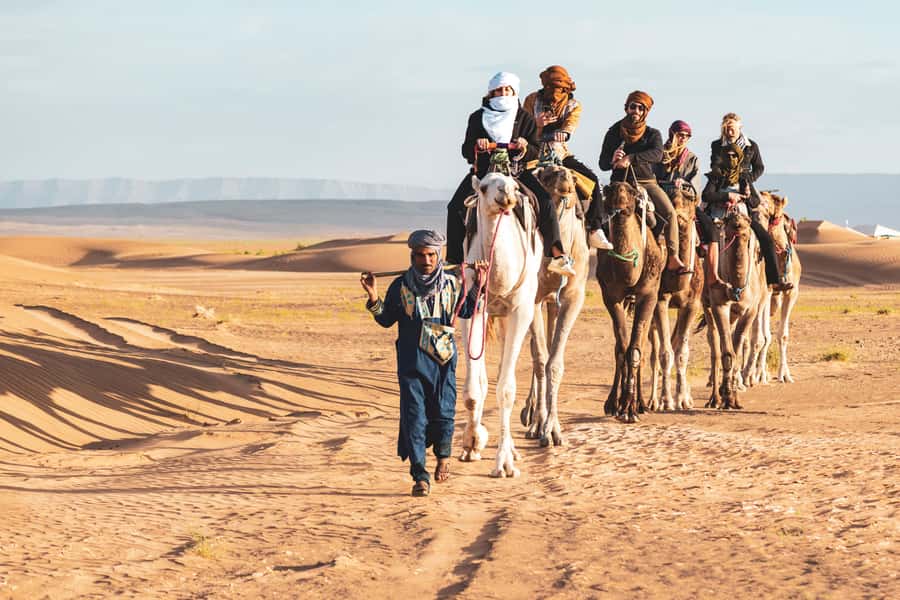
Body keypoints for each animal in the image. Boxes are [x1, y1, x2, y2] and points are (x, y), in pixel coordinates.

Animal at [459, 172, 542, 478]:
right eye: (483, 187)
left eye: (515, 185)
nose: (506, 194)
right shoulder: (471, 310)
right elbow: (473, 389)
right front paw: (472, 442)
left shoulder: (520, 312)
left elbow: (506, 389)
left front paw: (504, 463)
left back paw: (514, 450)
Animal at [596, 181, 665, 422]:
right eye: (608, 189)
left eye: (633, 192)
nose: (618, 190)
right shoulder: (610, 296)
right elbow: (622, 348)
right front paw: (615, 405)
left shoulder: (649, 293)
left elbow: (635, 349)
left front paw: (630, 408)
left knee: (642, 345)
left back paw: (642, 403)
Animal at [648, 188, 705, 411]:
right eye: (673, 204)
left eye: (693, 215)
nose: (680, 217)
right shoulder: (660, 301)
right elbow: (665, 354)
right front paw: (665, 400)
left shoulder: (691, 305)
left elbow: (682, 353)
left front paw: (682, 399)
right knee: (653, 352)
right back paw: (651, 400)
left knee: (674, 342)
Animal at [703, 209, 766, 409]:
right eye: (729, 219)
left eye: (747, 220)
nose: (738, 220)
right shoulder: (719, 304)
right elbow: (727, 353)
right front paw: (726, 397)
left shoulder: (749, 309)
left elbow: (736, 352)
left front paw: (733, 398)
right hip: (706, 304)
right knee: (715, 344)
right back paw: (714, 398)